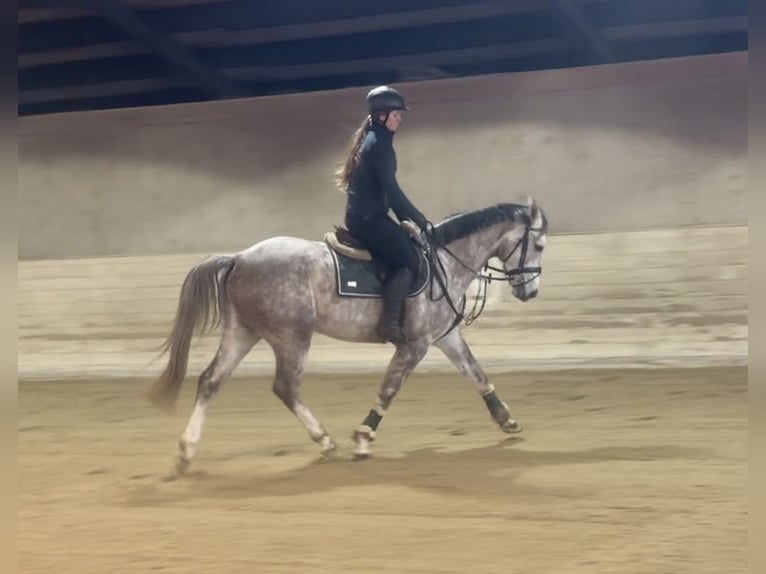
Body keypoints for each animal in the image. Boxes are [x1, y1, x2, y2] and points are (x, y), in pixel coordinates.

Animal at [146, 197, 548, 474]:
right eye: (540, 245)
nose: (530, 292)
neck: (445, 262)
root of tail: (239, 258)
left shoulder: (444, 336)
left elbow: (476, 372)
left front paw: (506, 419)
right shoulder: (415, 345)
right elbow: (389, 388)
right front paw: (363, 439)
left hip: (243, 332)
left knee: (210, 381)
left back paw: (186, 452)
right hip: (291, 336)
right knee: (285, 388)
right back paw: (325, 442)